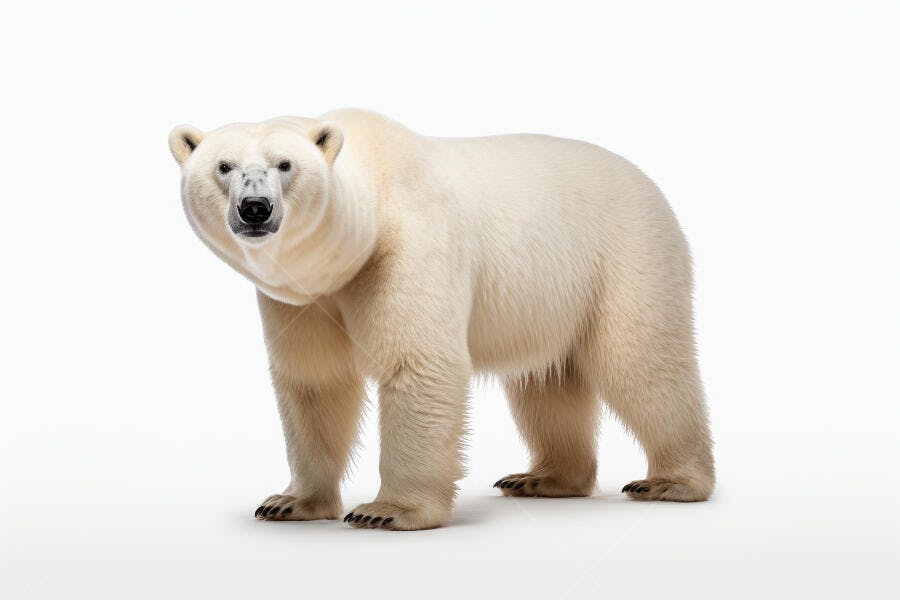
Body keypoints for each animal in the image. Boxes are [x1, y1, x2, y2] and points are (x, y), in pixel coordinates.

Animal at [168, 109, 715, 530]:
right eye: (224, 166)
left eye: (284, 165)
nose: (255, 208)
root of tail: (650, 183)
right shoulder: (303, 300)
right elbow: (315, 380)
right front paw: (290, 502)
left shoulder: (408, 245)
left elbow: (418, 364)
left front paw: (384, 511)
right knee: (545, 381)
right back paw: (541, 478)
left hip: (627, 253)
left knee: (641, 363)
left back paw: (672, 481)